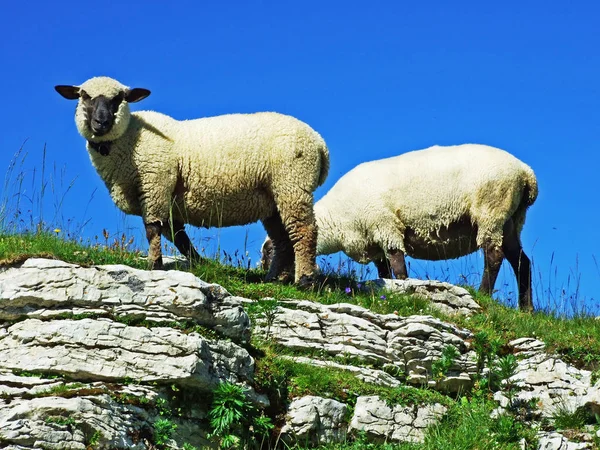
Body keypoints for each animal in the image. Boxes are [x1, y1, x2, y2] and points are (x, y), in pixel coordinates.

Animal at [55, 75, 328, 284]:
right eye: (84, 96)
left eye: (119, 98)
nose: (100, 122)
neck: (130, 138)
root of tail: (319, 142)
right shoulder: (165, 197)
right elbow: (177, 235)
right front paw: (198, 263)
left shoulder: (155, 184)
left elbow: (154, 229)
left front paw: (154, 266)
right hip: (272, 198)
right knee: (283, 240)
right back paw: (274, 279)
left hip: (292, 184)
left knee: (304, 231)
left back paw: (304, 280)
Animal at [262, 144, 540, 310]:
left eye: (271, 250)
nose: (267, 276)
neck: (338, 220)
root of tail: (526, 174)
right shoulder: (374, 240)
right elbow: (384, 271)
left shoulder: (385, 226)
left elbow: (397, 265)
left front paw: (405, 287)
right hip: (512, 220)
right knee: (522, 262)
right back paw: (526, 309)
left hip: (491, 211)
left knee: (494, 256)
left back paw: (484, 293)